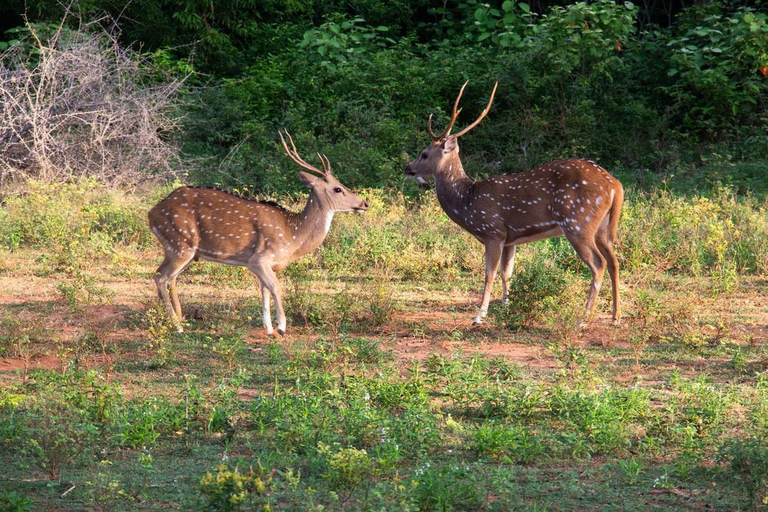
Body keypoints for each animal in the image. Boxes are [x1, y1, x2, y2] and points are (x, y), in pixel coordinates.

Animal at [150, 130, 368, 334]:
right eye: (338, 189)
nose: (364, 204)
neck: (293, 236)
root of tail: (151, 214)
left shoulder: (262, 263)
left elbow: (264, 290)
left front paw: (269, 328)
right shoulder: (259, 259)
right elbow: (276, 287)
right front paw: (281, 327)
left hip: (185, 251)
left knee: (169, 277)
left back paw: (179, 318)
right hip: (180, 243)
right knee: (160, 277)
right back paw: (177, 326)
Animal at [402, 82, 624, 326]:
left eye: (424, 154)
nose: (407, 168)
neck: (467, 200)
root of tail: (615, 185)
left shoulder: (493, 231)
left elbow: (489, 273)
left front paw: (479, 315)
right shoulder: (510, 238)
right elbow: (506, 272)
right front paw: (506, 306)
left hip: (578, 223)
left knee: (598, 264)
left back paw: (583, 318)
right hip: (602, 228)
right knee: (614, 262)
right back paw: (615, 316)